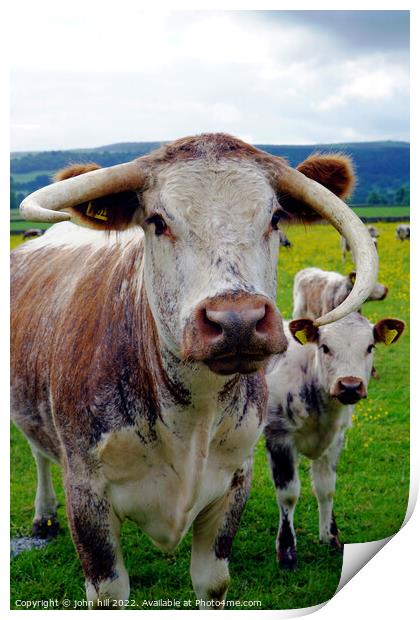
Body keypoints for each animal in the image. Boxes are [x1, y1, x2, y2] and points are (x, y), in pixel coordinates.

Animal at [10, 133, 378, 608]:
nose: (237, 322)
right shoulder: (88, 499)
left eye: (275, 217)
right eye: (157, 220)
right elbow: (108, 588)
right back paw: (42, 515)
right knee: (39, 454)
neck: (190, 413)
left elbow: (212, 581)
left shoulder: (234, 485)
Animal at [264, 312, 406, 568]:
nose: (350, 386)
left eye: (370, 347)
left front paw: (330, 537)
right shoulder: (279, 438)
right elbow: (288, 495)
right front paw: (287, 553)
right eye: (325, 347)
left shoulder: (335, 440)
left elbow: (326, 488)